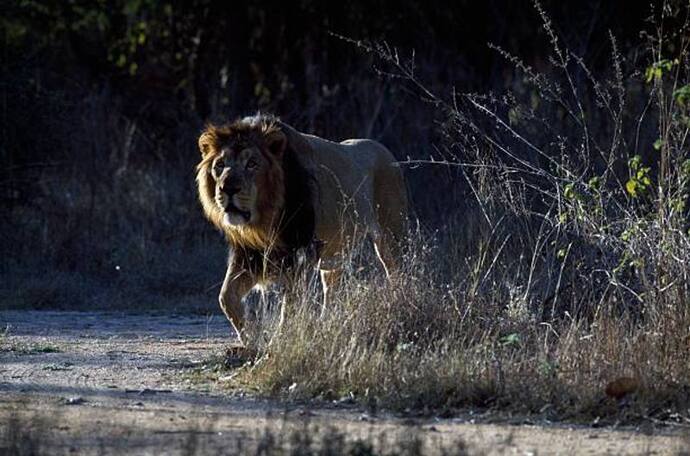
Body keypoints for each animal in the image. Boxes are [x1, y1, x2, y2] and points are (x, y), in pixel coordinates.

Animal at [196, 113, 406, 342]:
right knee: (331, 290)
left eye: (252, 164)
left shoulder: (301, 253)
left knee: (397, 273)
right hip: (335, 255)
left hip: (390, 237)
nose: (228, 189)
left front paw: (278, 339)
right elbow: (226, 297)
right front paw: (253, 338)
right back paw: (325, 326)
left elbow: (290, 304)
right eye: (219, 165)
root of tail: (385, 151)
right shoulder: (249, 254)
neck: (263, 221)